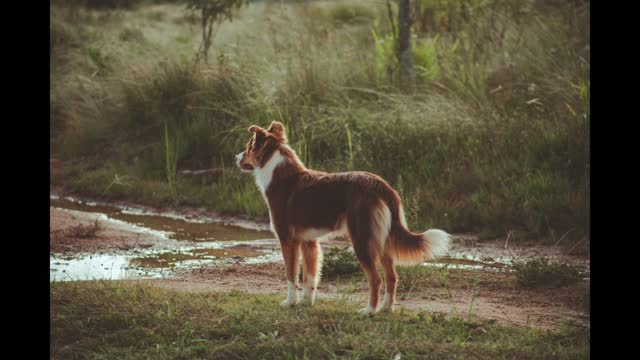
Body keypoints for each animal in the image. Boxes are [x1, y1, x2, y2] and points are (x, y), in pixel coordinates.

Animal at [235, 122, 450, 314]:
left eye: (248, 146)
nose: (235, 157)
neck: (276, 170)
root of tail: (381, 185)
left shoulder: (288, 240)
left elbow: (291, 275)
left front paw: (290, 303)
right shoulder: (309, 242)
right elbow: (310, 277)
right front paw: (306, 302)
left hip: (362, 240)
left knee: (376, 279)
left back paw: (369, 311)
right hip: (382, 240)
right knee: (391, 277)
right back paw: (386, 309)